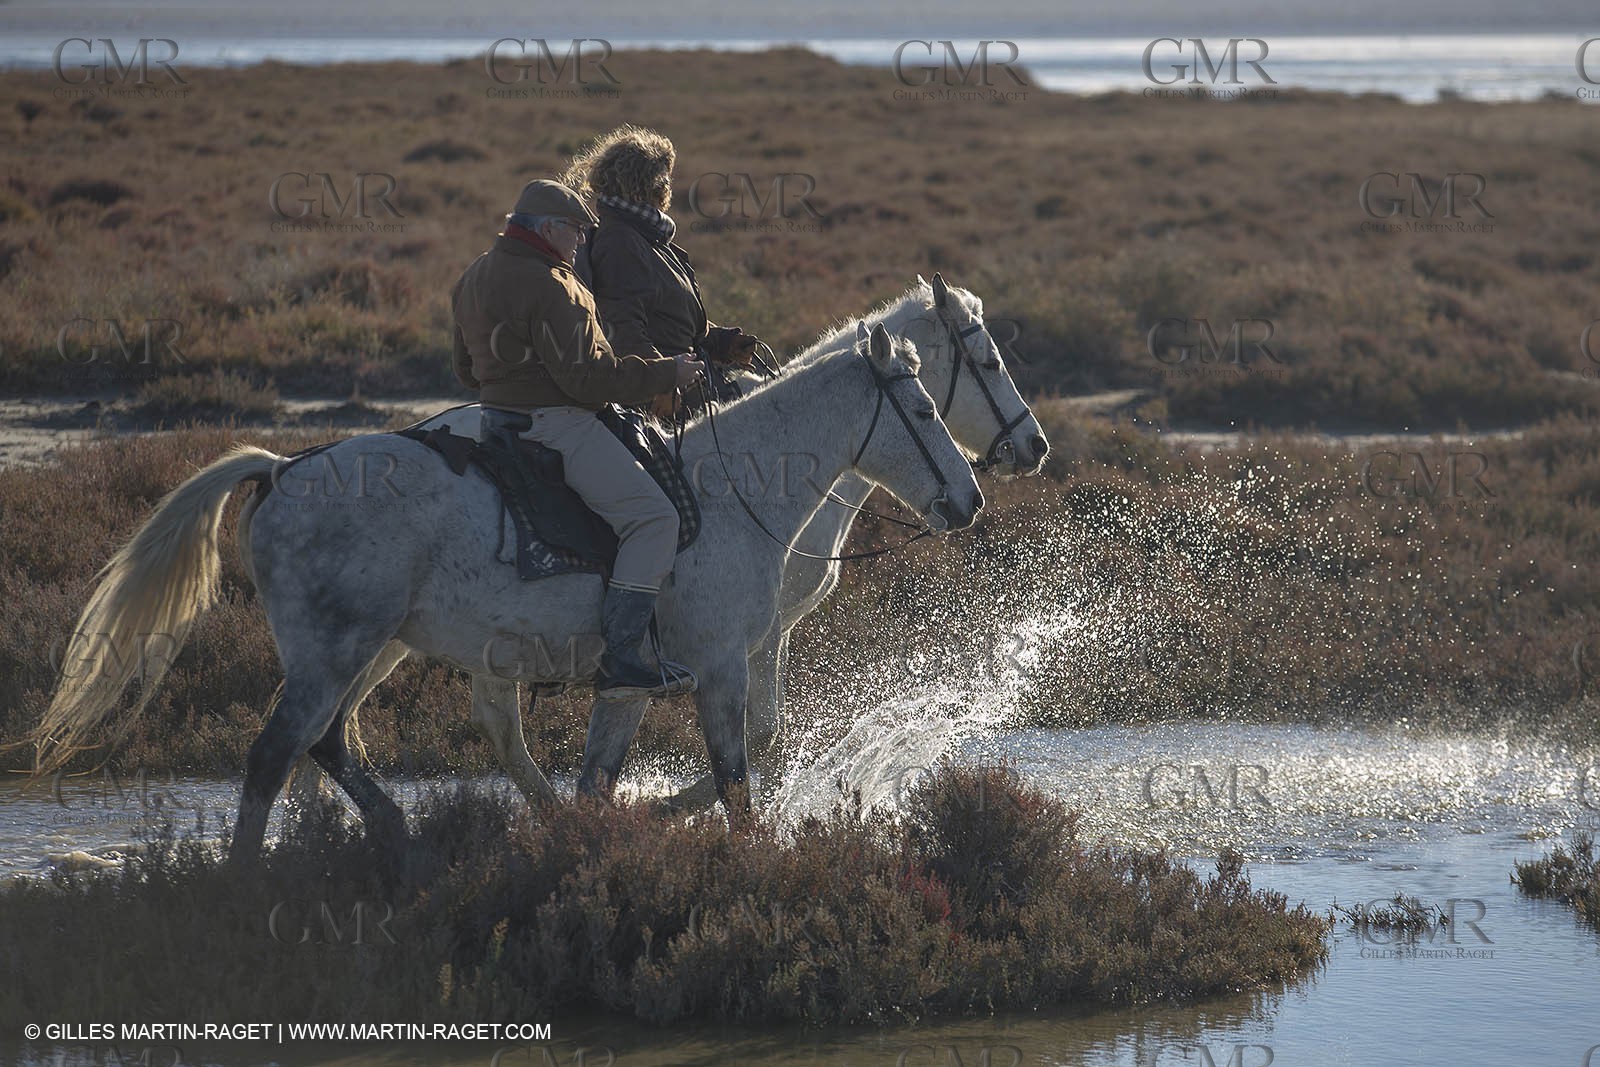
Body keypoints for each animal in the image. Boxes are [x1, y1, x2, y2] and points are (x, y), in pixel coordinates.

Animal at [29, 323, 983, 862]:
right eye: (924, 411)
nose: (969, 499)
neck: (735, 485)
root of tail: (284, 468)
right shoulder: (718, 667)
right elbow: (735, 778)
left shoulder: (631, 682)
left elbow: (599, 779)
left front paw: (599, 839)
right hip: (335, 650)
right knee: (274, 754)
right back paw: (244, 879)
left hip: (369, 648)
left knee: (329, 742)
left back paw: (403, 840)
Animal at [408, 274, 1047, 811]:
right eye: (988, 362)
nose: (1035, 446)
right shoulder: (752, 638)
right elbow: (759, 734)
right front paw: (672, 805)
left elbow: (759, 736)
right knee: (500, 724)